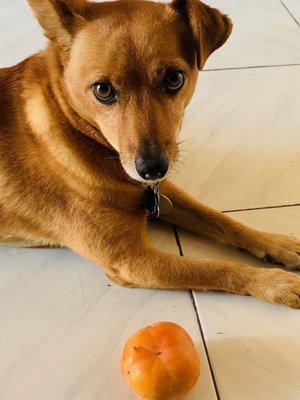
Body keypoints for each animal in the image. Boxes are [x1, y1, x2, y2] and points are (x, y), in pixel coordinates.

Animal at [0, 0, 300, 310]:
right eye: (102, 89)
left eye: (174, 78)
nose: (152, 168)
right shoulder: (133, 261)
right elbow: (214, 268)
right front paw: (275, 282)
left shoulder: (162, 191)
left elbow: (220, 219)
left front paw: (277, 244)